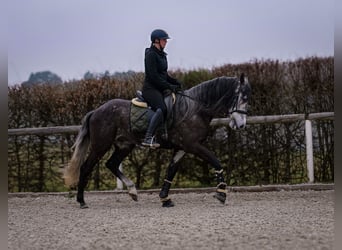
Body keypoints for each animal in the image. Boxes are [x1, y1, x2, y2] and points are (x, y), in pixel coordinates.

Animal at [63, 73, 251, 208]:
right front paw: (221, 193)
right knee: (86, 168)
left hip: (124, 145)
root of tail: (96, 111)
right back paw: (81, 201)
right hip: (100, 145)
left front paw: (165, 199)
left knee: (112, 164)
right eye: (242, 98)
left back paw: (132, 191)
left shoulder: (182, 147)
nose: (241, 125)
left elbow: (171, 171)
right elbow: (216, 161)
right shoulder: (193, 145)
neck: (195, 109)